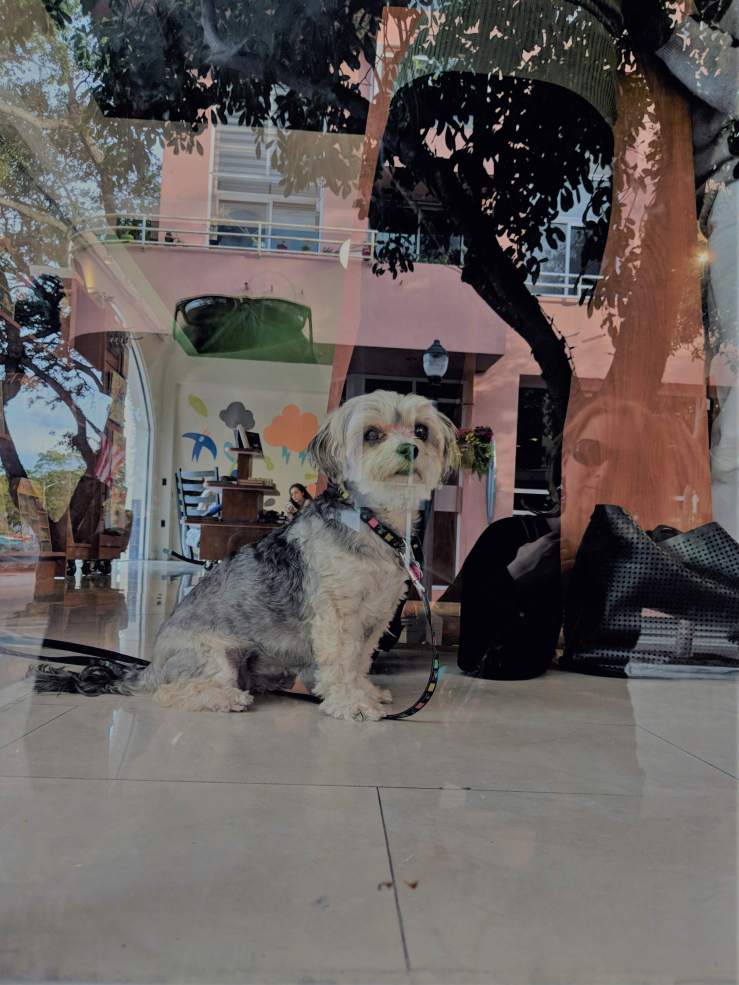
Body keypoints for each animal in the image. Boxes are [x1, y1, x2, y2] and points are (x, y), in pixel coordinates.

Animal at [138, 391, 458, 721]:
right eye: (371, 434)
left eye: (421, 430)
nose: (411, 449)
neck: (373, 524)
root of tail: (151, 668)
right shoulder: (338, 615)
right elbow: (343, 661)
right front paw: (350, 702)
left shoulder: (376, 617)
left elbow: (359, 661)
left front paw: (365, 692)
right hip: (212, 655)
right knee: (173, 691)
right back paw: (227, 697)